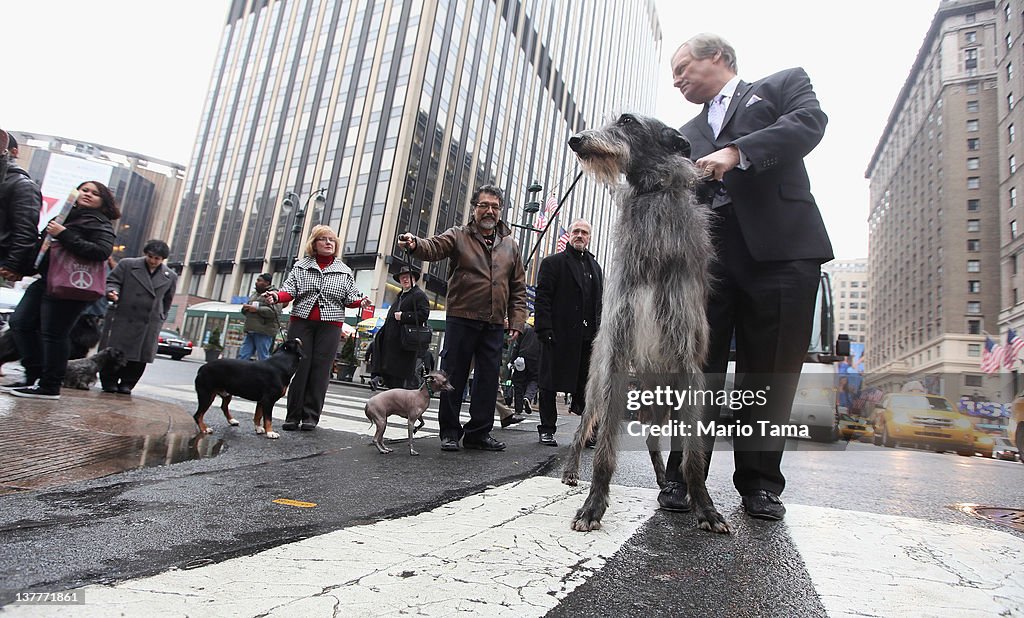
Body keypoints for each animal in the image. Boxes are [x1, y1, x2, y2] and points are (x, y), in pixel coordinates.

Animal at [561, 113, 729, 532]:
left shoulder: (687, 364)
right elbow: (603, 449)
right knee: (584, 426)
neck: (652, 194)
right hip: (600, 382)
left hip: (660, 397)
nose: (576, 139)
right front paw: (593, 506)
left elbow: (692, 455)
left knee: (654, 441)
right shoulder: (619, 352)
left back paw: (663, 479)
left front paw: (705, 507)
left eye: (627, 121)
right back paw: (571, 471)